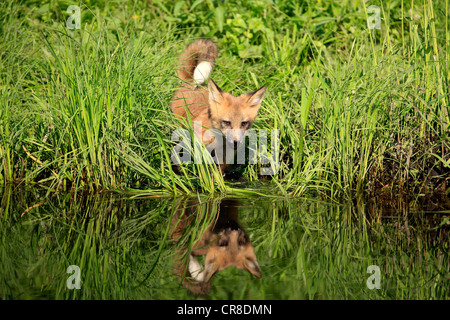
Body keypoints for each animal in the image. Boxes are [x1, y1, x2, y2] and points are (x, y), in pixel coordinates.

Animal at [170, 39, 268, 175]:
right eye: (226, 122)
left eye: (243, 123)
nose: (236, 142)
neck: (218, 144)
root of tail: (189, 82)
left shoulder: (222, 164)